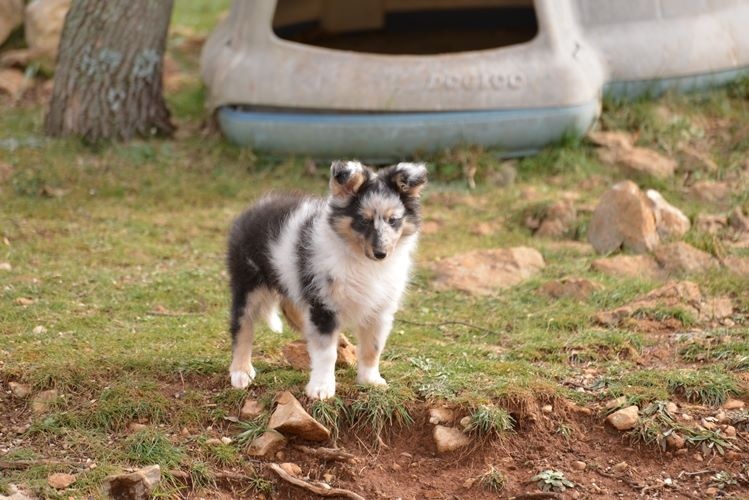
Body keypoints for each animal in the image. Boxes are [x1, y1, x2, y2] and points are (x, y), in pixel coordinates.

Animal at [226, 160, 426, 398]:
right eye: (363, 220)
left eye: (393, 220)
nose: (381, 254)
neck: (361, 260)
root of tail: (257, 206)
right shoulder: (324, 305)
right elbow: (326, 352)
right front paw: (321, 389)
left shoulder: (380, 309)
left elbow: (373, 348)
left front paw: (370, 380)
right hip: (248, 283)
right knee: (242, 326)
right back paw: (241, 372)